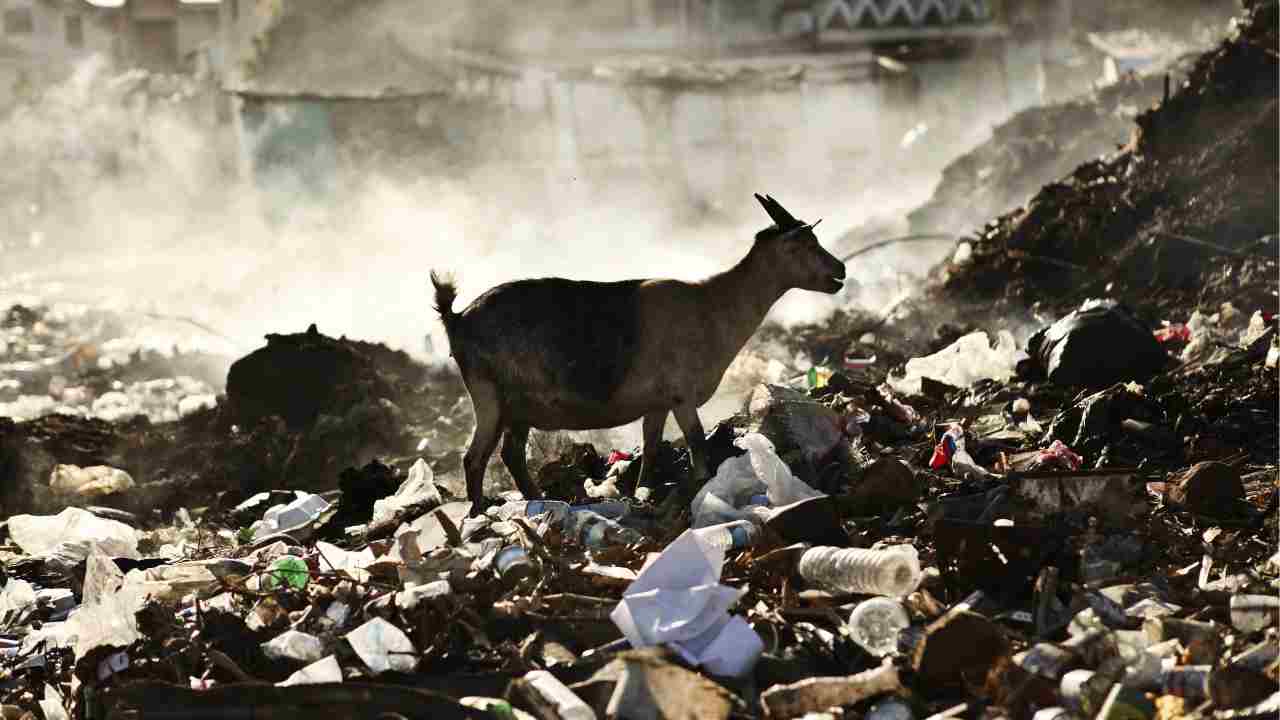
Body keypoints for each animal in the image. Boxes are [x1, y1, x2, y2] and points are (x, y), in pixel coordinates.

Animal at [435, 193, 844, 512]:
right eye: (805, 245)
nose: (839, 269)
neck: (712, 306)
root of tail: (457, 319)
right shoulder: (681, 396)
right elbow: (697, 447)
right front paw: (700, 486)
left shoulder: (656, 404)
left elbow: (650, 449)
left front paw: (643, 492)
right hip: (489, 397)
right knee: (475, 459)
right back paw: (479, 512)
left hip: (518, 407)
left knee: (511, 455)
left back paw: (539, 500)